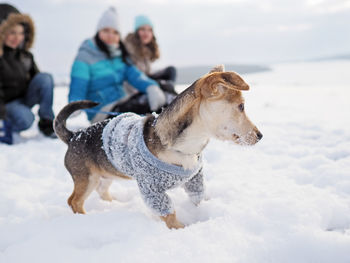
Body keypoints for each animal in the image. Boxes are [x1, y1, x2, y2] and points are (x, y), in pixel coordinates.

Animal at [54, 65, 262, 230]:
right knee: (74, 201)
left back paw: (116, 205)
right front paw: (180, 230)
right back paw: (84, 219)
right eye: (241, 107)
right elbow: (168, 213)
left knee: (101, 190)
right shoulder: (151, 189)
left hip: (105, 174)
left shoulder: (195, 179)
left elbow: (198, 197)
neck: (186, 147)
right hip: (86, 178)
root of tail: (74, 136)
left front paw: (204, 211)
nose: (260, 135)